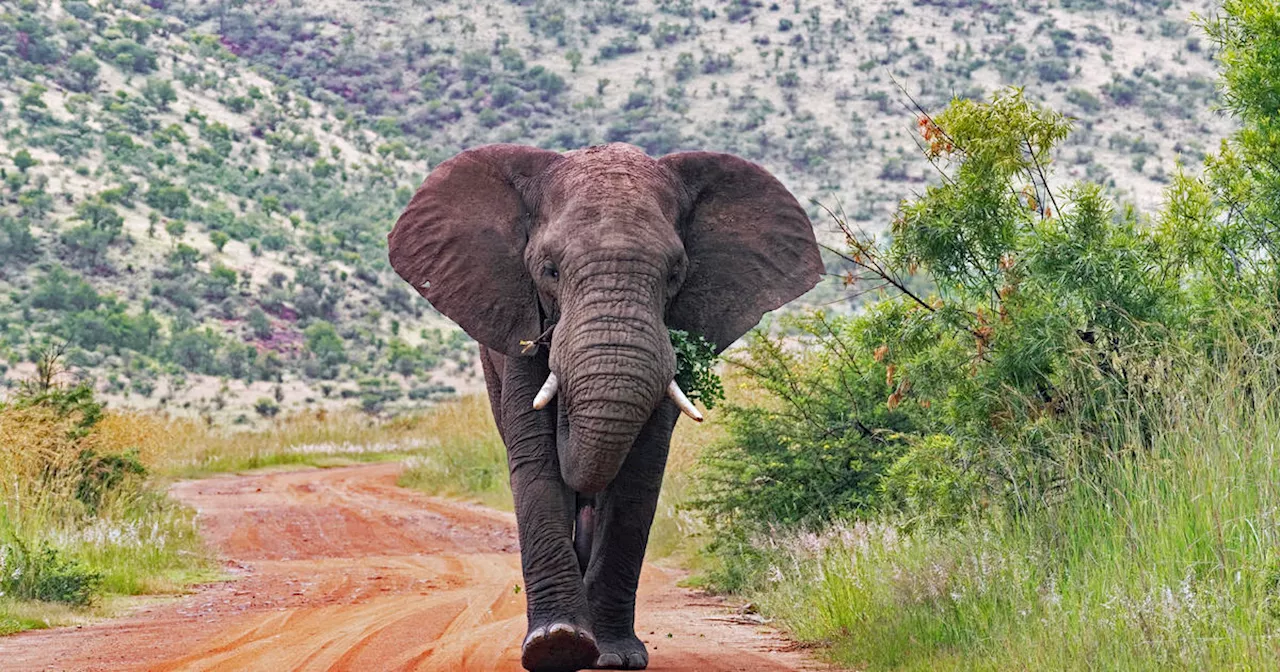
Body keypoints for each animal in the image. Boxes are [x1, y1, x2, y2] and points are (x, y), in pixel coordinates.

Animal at [384, 142, 819, 670]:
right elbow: (536, 462)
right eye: (549, 270)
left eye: (675, 274)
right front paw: (557, 646)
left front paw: (613, 656)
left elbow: (639, 474)